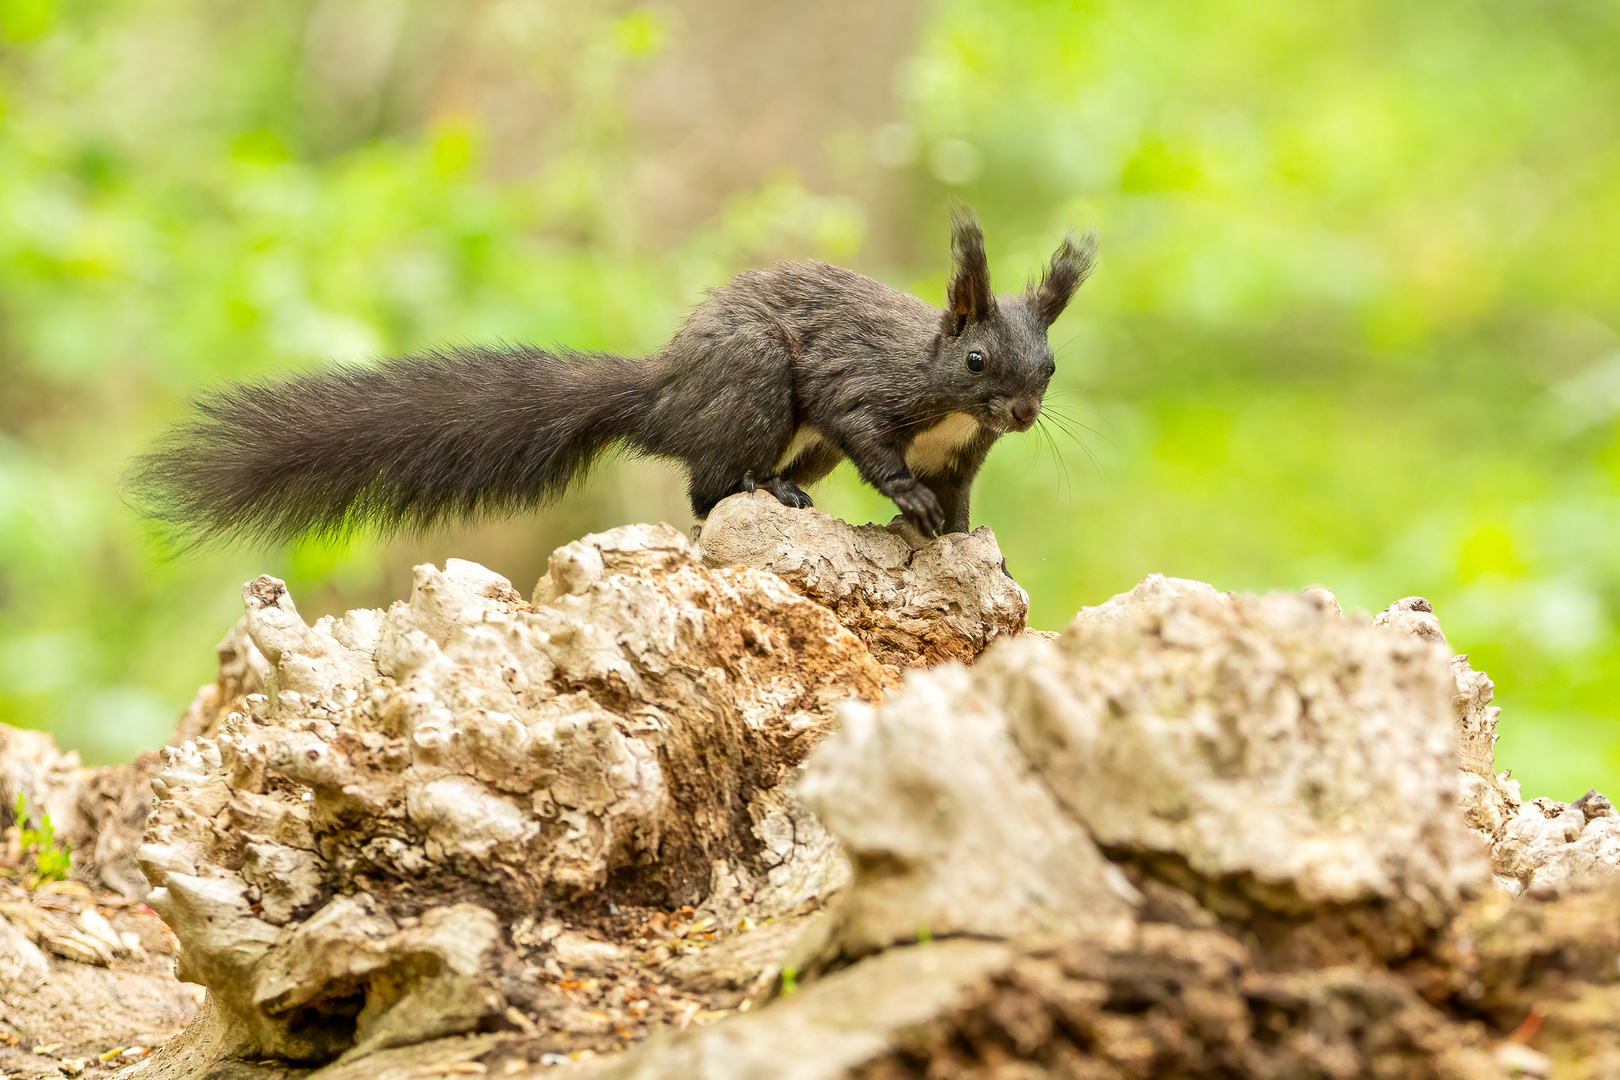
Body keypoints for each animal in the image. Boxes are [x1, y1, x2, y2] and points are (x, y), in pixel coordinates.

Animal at [132, 210, 1095, 544]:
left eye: (1051, 367)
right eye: (976, 360)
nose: (1019, 412)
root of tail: (663, 391)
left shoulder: (964, 453)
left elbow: (963, 498)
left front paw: (962, 536)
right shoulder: (864, 388)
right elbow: (871, 439)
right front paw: (911, 503)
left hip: (789, 433)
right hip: (754, 384)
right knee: (707, 488)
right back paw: (763, 492)